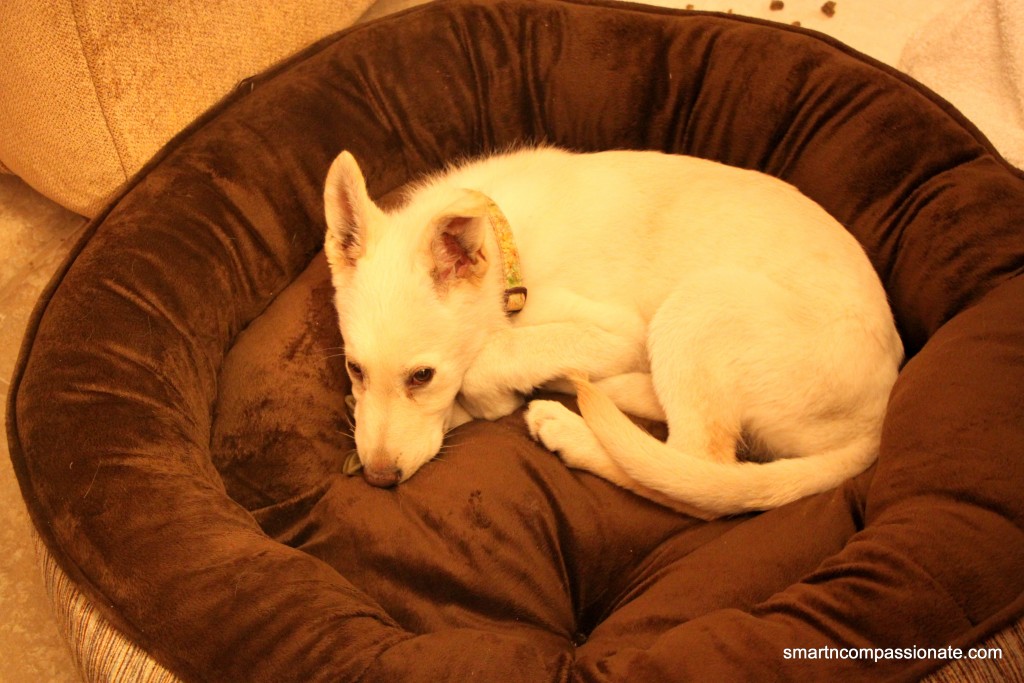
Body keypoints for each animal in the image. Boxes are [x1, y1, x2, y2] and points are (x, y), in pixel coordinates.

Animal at [323, 145, 901, 518]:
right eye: (355, 368)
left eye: (423, 376)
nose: (378, 479)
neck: (509, 254)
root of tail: (879, 414)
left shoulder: (622, 331)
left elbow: (492, 359)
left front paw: (488, 397)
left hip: (700, 304)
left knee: (691, 473)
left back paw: (572, 427)